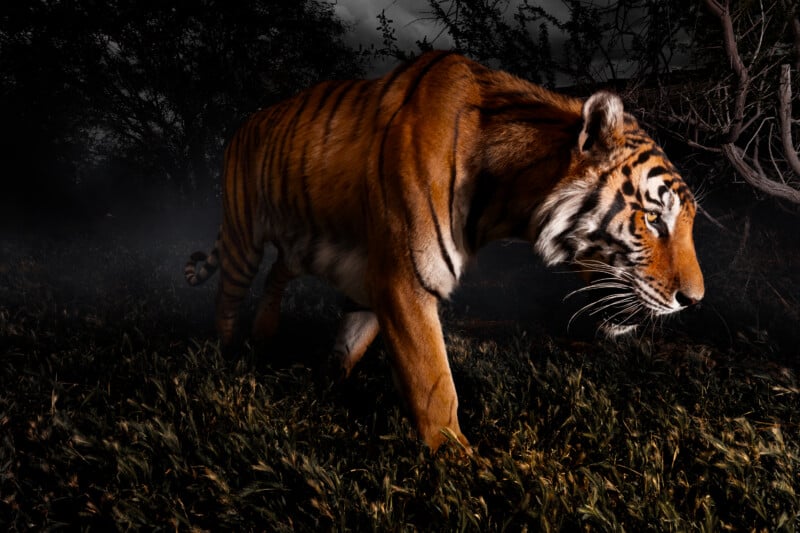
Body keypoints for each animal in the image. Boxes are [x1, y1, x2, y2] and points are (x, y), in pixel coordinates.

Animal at [185, 51, 704, 452]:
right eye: (654, 219)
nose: (694, 301)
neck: (510, 198)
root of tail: (244, 123)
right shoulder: (404, 281)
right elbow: (435, 386)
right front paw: (464, 469)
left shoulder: (375, 281)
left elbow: (350, 343)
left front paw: (326, 386)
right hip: (242, 238)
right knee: (228, 297)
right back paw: (231, 355)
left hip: (298, 244)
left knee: (278, 274)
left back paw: (265, 334)